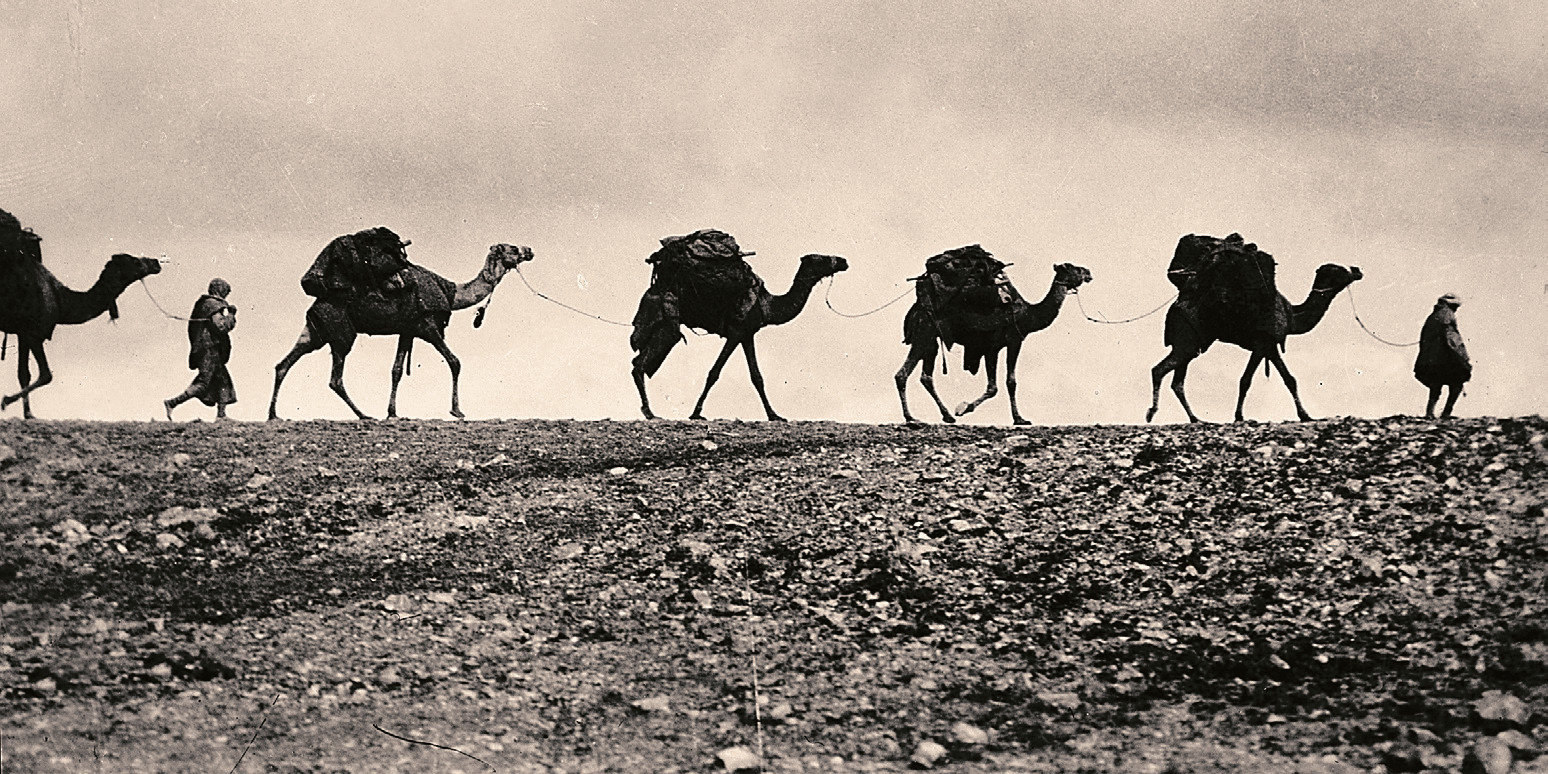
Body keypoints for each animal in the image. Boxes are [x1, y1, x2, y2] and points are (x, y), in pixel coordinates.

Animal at [0, 252, 163, 418]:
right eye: (135, 261)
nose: (156, 263)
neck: (61, 301)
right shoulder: (34, 332)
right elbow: (46, 374)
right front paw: (5, 401)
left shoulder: (24, 332)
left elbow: (24, 373)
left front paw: (28, 414)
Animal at [268, 243, 534, 420]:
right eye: (511, 248)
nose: (529, 250)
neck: (452, 292)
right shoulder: (427, 326)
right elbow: (455, 361)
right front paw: (457, 411)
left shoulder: (407, 330)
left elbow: (396, 370)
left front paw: (393, 413)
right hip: (341, 332)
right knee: (335, 379)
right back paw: (364, 415)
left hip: (316, 332)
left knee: (284, 364)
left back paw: (273, 414)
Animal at [631, 252, 849, 421]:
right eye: (820, 258)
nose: (843, 261)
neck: (767, 305)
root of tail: (652, 289)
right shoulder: (736, 332)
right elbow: (714, 373)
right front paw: (696, 413)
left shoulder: (747, 334)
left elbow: (756, 376)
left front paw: (774, 415)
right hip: (666, 322)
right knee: (641, 362)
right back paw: (650, 413)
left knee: (638, 361)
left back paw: (648, 411)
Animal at [895, 262, 1092, 426]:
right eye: (1074, 268)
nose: (1089, 272)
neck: (1030, 315)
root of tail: (916, 310)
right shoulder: (1013, 340)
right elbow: (1010, 382)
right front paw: (1019, 419)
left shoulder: (992, 348)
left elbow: (993, 387)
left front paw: (962, 408)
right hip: (924, 332)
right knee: (902, 374)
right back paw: (911, 418)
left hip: (931, 339)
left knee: (926, 376)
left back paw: (947, 416)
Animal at [1146, 262, 1363, 423]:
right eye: (1337, 270)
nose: (1357, 270)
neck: (1292, 316)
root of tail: (1174, 309)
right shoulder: (1261, 343)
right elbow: (1246, 380)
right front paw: (1239, 417)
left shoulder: (1271, 346)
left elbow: (1289, 379)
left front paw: (1305, 415)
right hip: (1187, 342)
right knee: (1159, 370)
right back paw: (1152, 413)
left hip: (1191, 344)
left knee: (1177, 381)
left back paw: (1196, 419)